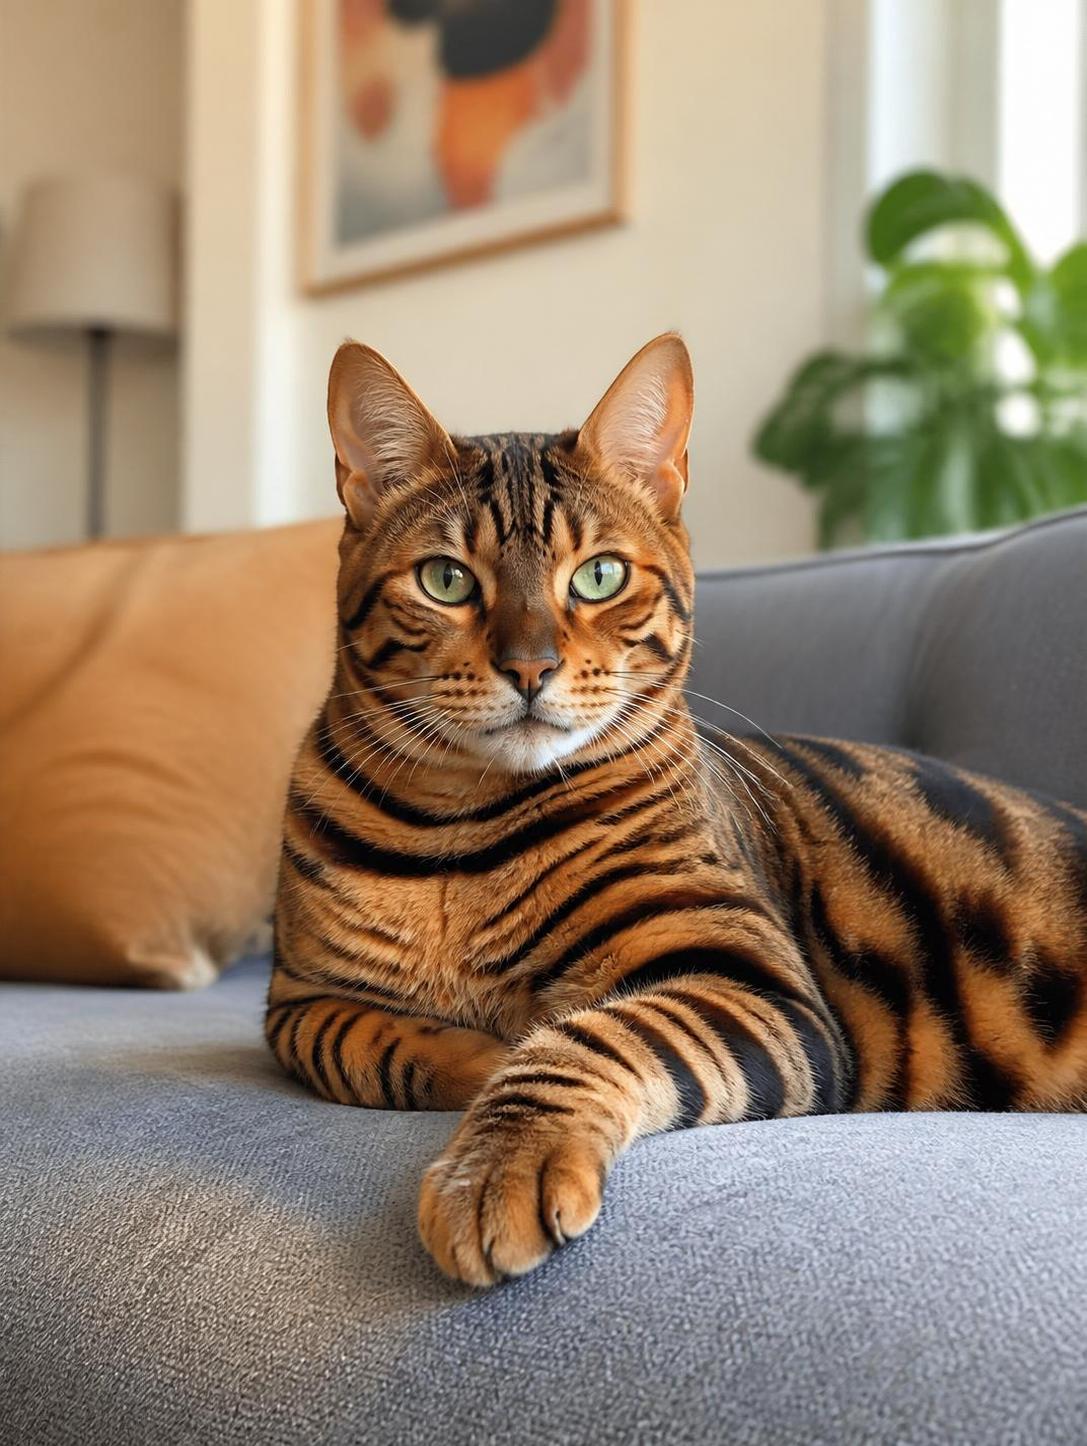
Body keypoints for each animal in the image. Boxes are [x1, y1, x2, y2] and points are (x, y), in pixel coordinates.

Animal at [268, 333, 1087, 1287]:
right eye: (444, 580)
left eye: (598, 575)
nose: (529, 666)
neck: (460, 832)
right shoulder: (298, 1001)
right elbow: (366, 1048)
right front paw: (473, 1057)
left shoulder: (756, 986)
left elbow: (584, 1040)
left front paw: (499, 1158)